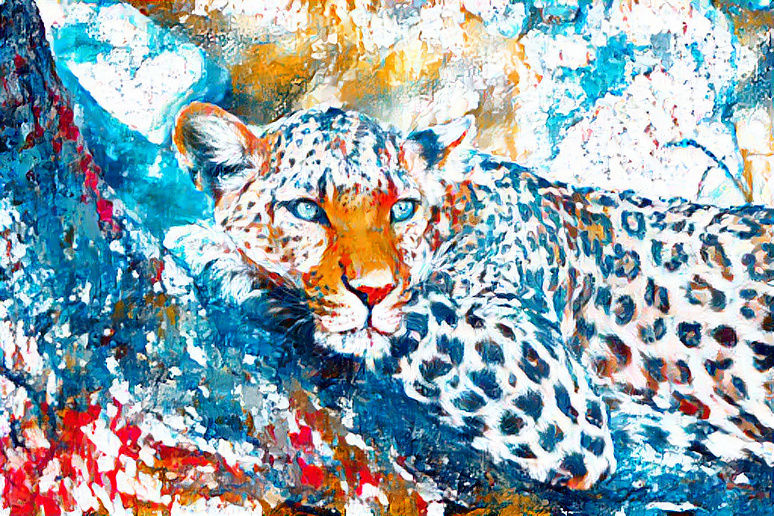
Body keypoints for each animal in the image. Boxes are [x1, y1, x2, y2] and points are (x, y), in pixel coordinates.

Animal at [168, 101, 774, 491]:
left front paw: (216, 254)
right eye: (306, 210)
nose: (373, 290)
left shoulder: (553, 385)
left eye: (402, 209)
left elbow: (422, 322)